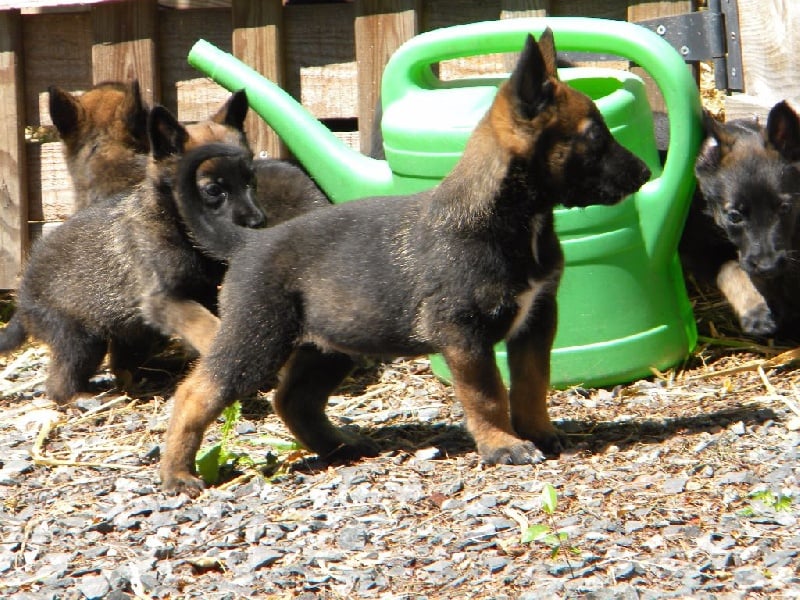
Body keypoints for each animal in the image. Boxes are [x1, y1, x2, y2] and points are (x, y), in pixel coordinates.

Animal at [0, 95, 268, 404]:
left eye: (251, 182)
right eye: (213, 190)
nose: (259, 223)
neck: (179, 229)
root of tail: (22, 297)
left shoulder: (206, 292)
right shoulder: (163, 300)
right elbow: (203, 324)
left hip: (130, 333)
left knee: (120, 367)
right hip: (81, 339)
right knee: (58, 386)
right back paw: (86, 398)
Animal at [159, 28, 652, 494]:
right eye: (594, 136)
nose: (646, 172)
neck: (511, 218)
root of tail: (248, 243)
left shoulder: (536, 321)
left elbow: (532, 384)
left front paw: (538, 433)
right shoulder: (464, 335)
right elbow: (488, 394)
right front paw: (502, 445)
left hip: (331, 345)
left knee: (293, 400)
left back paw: (339, 446)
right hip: (256, 340)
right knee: (194, 394)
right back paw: (177, 474)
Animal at [680, 101, 800, 340]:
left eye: (785, 208)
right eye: (734, 216)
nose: (769, 266)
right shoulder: (697, 249)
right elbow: (732, 268)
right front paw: (756, 309)